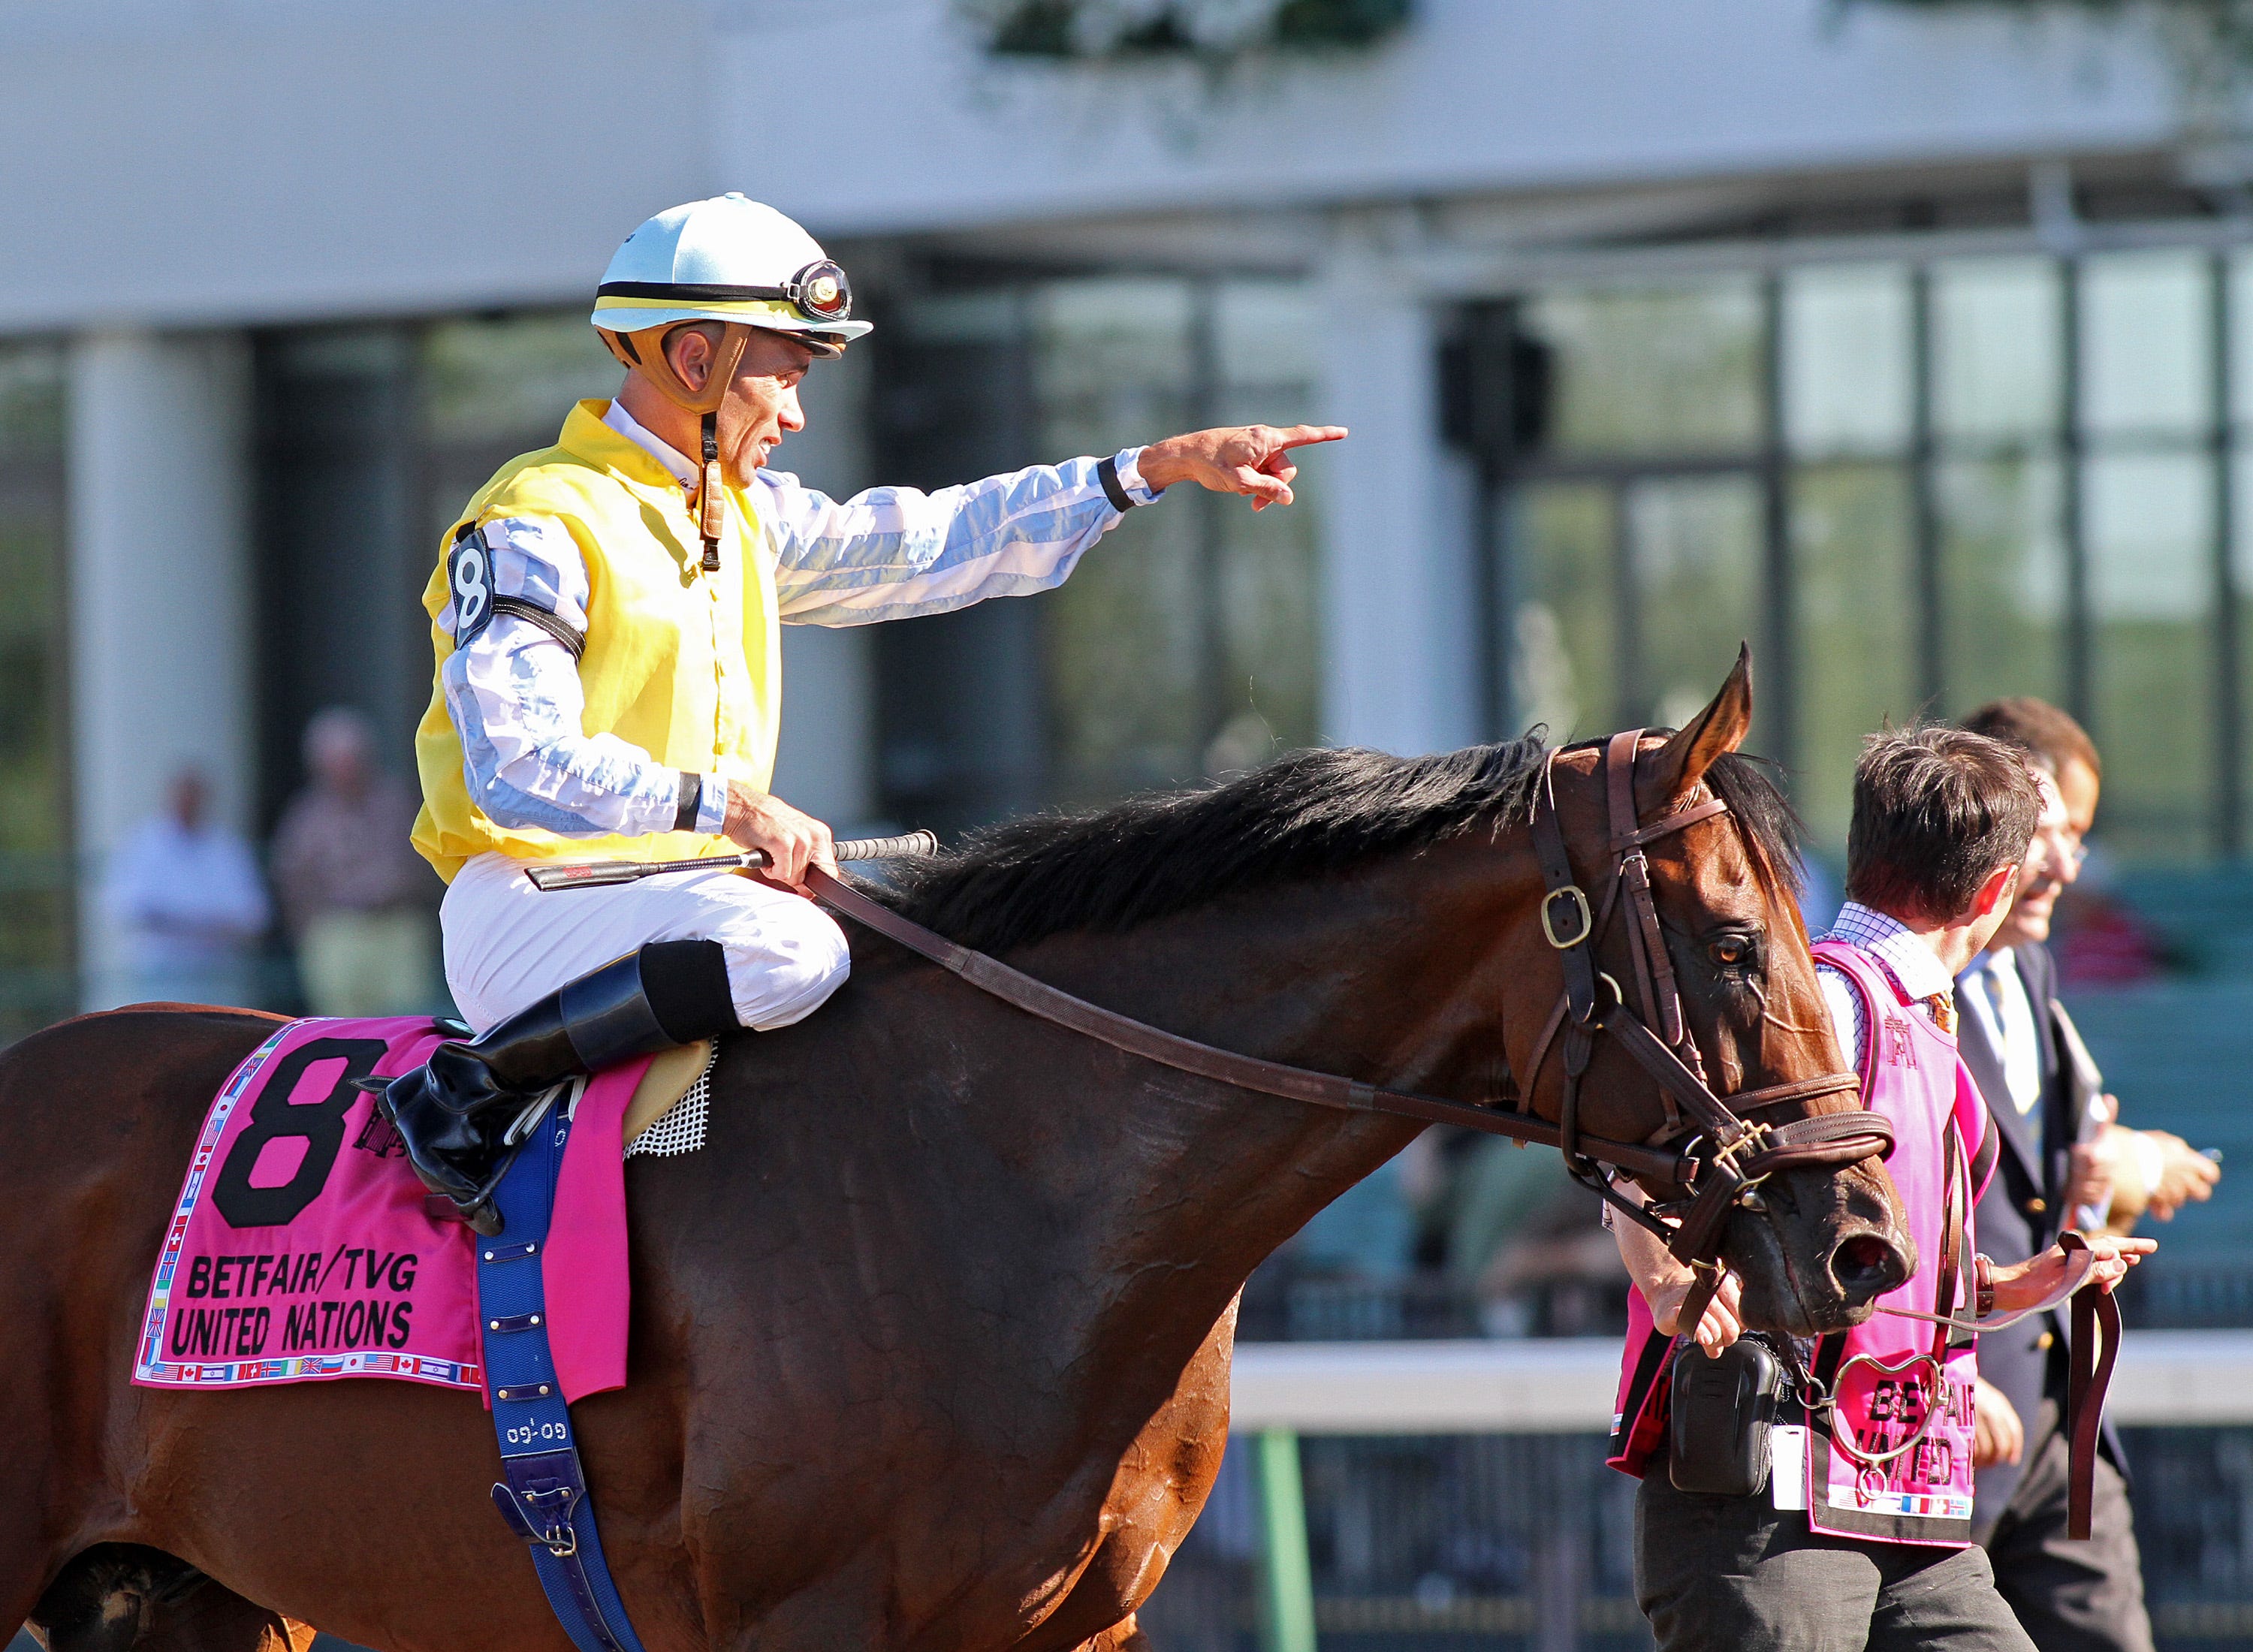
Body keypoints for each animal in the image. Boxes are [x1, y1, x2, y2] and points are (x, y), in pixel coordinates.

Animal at [4, 653, 1902, 1649]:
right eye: (1738, 942)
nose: (1866, 1239)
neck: (1013, 1191)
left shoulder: (1085, 1618)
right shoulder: (812, 1622)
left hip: (196, 1593)